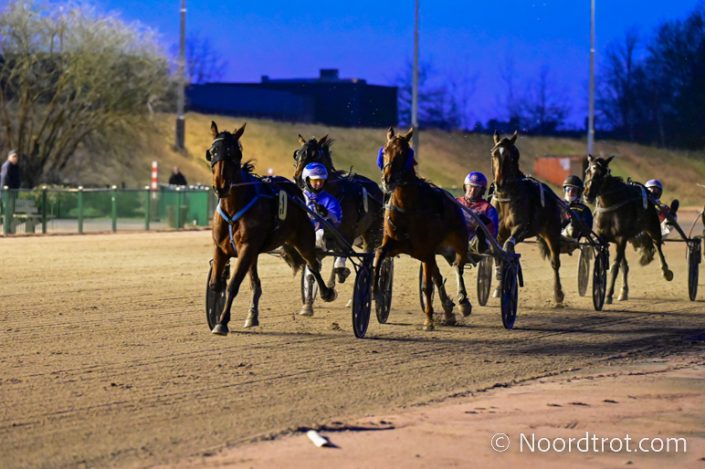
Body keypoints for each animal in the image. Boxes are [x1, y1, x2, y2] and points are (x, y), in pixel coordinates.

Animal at [206, 121, 335, 335]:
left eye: (234, 154)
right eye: (212, 152)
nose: (221, 186)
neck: (234, 208)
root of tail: (296, 192)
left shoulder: (247, 248)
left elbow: (233, 284)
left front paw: (222, 322)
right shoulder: (221, 248)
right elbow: (216, 283)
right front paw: (217, 315)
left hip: (303, 239)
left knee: (313, 264)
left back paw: (326, 292)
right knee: (256, 283)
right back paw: (252, 316)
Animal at [292, 134, 384, 290]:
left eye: (314, 155)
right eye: (297, 155)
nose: (298, 178)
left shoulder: (347, 234)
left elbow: (341, 259)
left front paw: (342, 273)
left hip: (371, 233)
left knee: (366, 255)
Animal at [373, 127, 471, 330]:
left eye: (403, 153)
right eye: (385, 151)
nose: (388, 180)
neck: (407, 206)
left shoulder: (426, 250)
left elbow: (426, 286)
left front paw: (429, 320)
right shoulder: (393, 244)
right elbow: (379, 255)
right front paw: (377, 292)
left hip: (458, 241)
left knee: (458, 266)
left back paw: (463, 302)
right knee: (438, 276)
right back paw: (448, 310)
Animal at [490, 131, 565, 304]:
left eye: (511, 156)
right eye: (494, 154)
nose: (499, 183)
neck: (506, 198)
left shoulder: (521, 229)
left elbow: (509, 245)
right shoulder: (499, 234)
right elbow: (499, 254)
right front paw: (498, 288)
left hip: (551, 232)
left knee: (555, 263)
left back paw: (558, 293)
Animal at [583, 154, 673, 303]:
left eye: (602, 173)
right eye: (587, 171)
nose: (587, 194)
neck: (610, 205)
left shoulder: (621, 238)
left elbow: (614, 267)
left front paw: (608, 295)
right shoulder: (604, 237)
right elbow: (611, 264)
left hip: (652, 227)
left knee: (657, 244)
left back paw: (666, 271)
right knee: (625, 265)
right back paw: (624, 291)